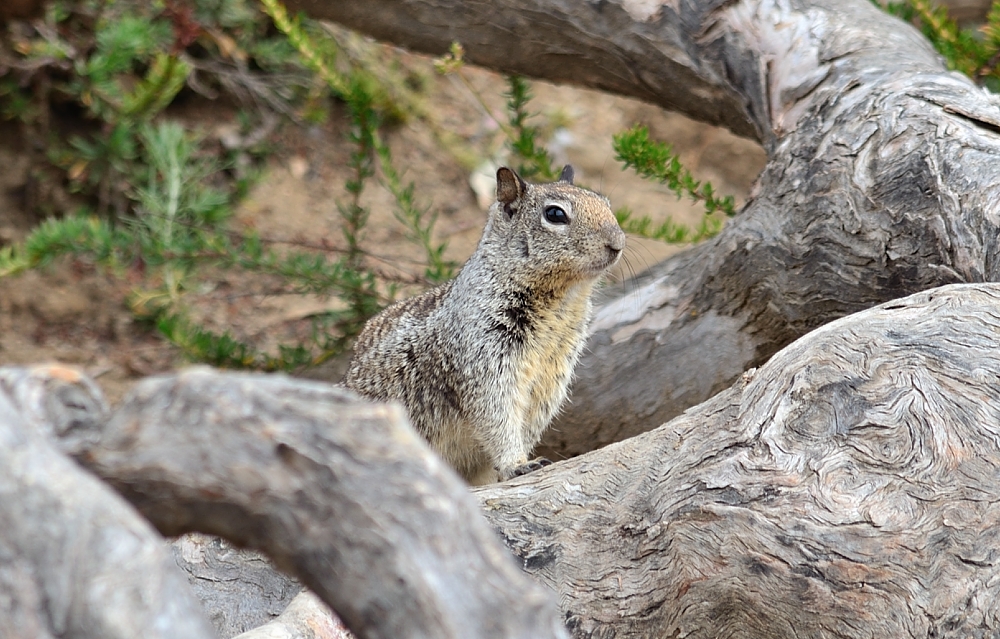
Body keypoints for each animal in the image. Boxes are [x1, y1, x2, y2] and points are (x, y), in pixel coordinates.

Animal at [343, 165, 625, 485]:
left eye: (606, 203)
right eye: (555, 214)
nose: (617, 244)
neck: (561, 301)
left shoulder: (551, 378)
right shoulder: (487, 354)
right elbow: (497, 415)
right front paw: (518, 464)